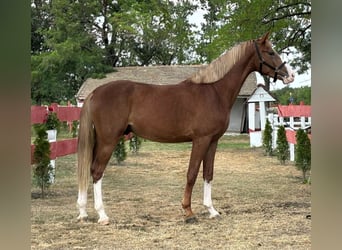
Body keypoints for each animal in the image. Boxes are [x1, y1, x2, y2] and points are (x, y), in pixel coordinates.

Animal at [77, 32, 294, 226]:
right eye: (271, 52)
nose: (290, 76)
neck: (214, 91)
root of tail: (95, 92)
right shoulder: (201, 140)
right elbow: (192, 173)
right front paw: (188, 212)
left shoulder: (213, 141)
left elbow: (208, 174)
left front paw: (211, 210)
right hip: (108, 140)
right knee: (97, 171)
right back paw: (102, 215)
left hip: (100, 140)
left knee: (89, 169)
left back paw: (83, 212)